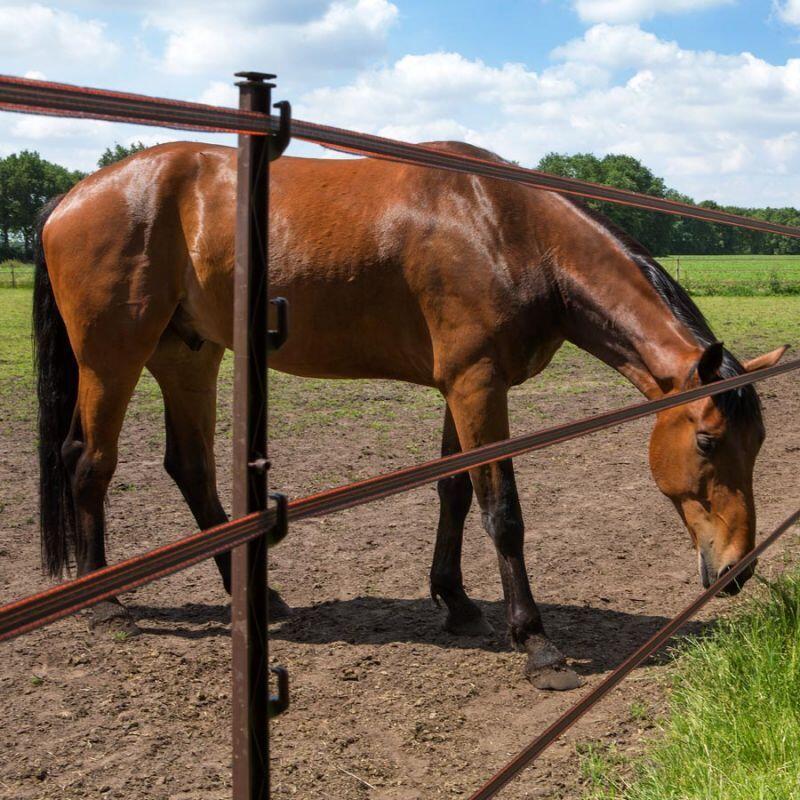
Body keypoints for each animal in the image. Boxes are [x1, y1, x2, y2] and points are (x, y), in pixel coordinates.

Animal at [36, 142, 780, 688]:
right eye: (708, 441)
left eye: (759, 444)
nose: (738, 567)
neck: (503, 227)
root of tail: (71, 197)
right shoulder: (477, 386)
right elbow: (502, 513)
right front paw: (537, 644)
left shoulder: (465, 387)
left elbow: (455, 491)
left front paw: (456, 603)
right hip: (113, 358)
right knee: (91, 464)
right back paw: (104, 605)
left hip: (188, 355)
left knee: (190, 470)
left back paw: (255, 600)